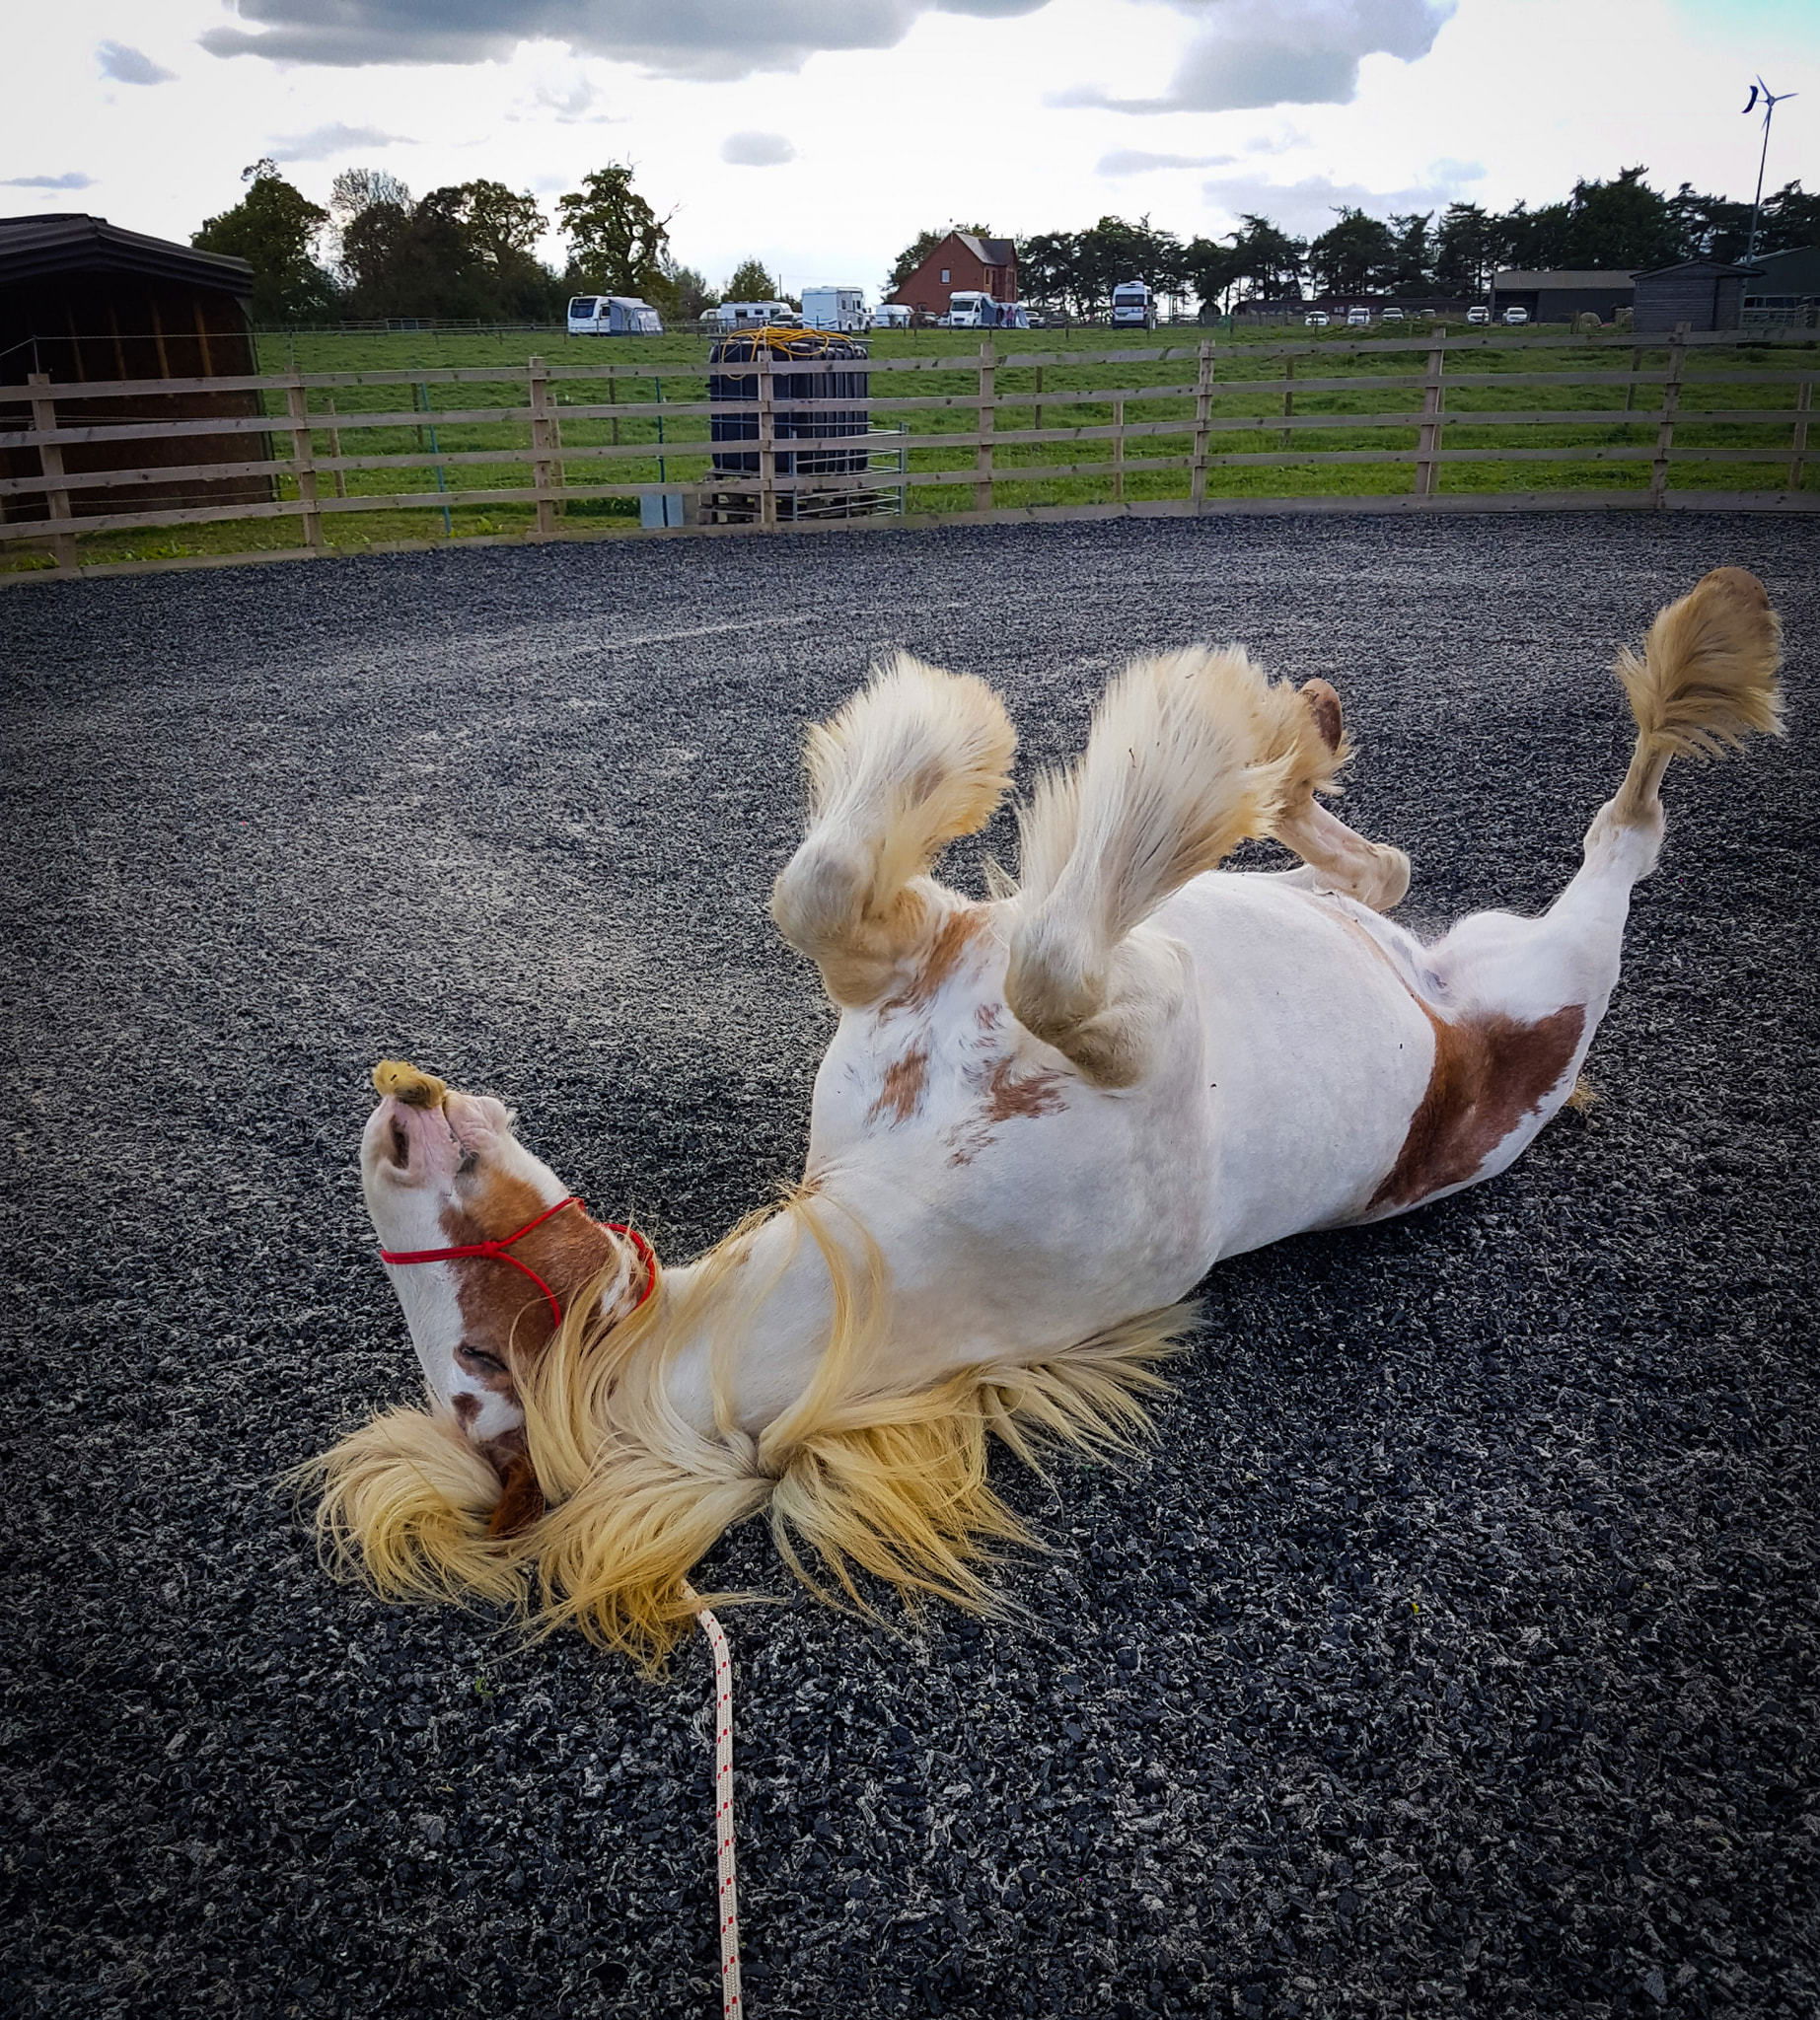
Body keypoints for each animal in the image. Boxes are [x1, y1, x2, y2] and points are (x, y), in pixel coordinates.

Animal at [309, 569, 1777, 1672]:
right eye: (477, 1363)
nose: (392, 1114)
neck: (912, 1203)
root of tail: (1470, 1014)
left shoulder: (914, 945)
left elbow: (825, 883)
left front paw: (950, 730)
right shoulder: (1122, 1019)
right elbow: (1054, 957)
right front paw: (1183, 730)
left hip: (1414, 930)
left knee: (1384, 866)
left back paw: (1309, 738)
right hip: (1553, 972)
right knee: (1621, 826)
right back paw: (1686, 651)